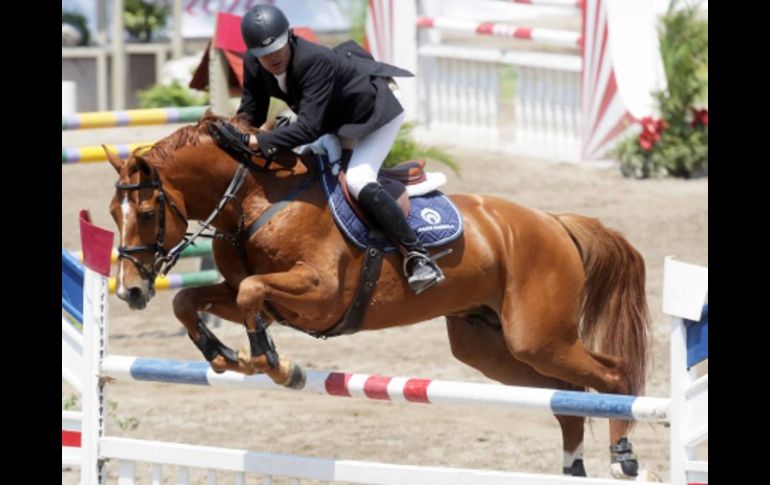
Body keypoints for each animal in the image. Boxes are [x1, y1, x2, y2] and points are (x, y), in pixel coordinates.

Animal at [103, 113, 648, 476]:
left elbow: (251, 294)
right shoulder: (256, 296)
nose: (130, 290)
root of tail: (554, 222)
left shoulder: (319, 293)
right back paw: (573, 465)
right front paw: (222, 356)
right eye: (111, 213)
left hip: (538, 338)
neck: (256, 199)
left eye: (147, 213)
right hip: (491, 348)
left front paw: (273, 363)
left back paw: (622, 455)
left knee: (612, 376)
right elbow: (194, 301)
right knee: (567, 395)